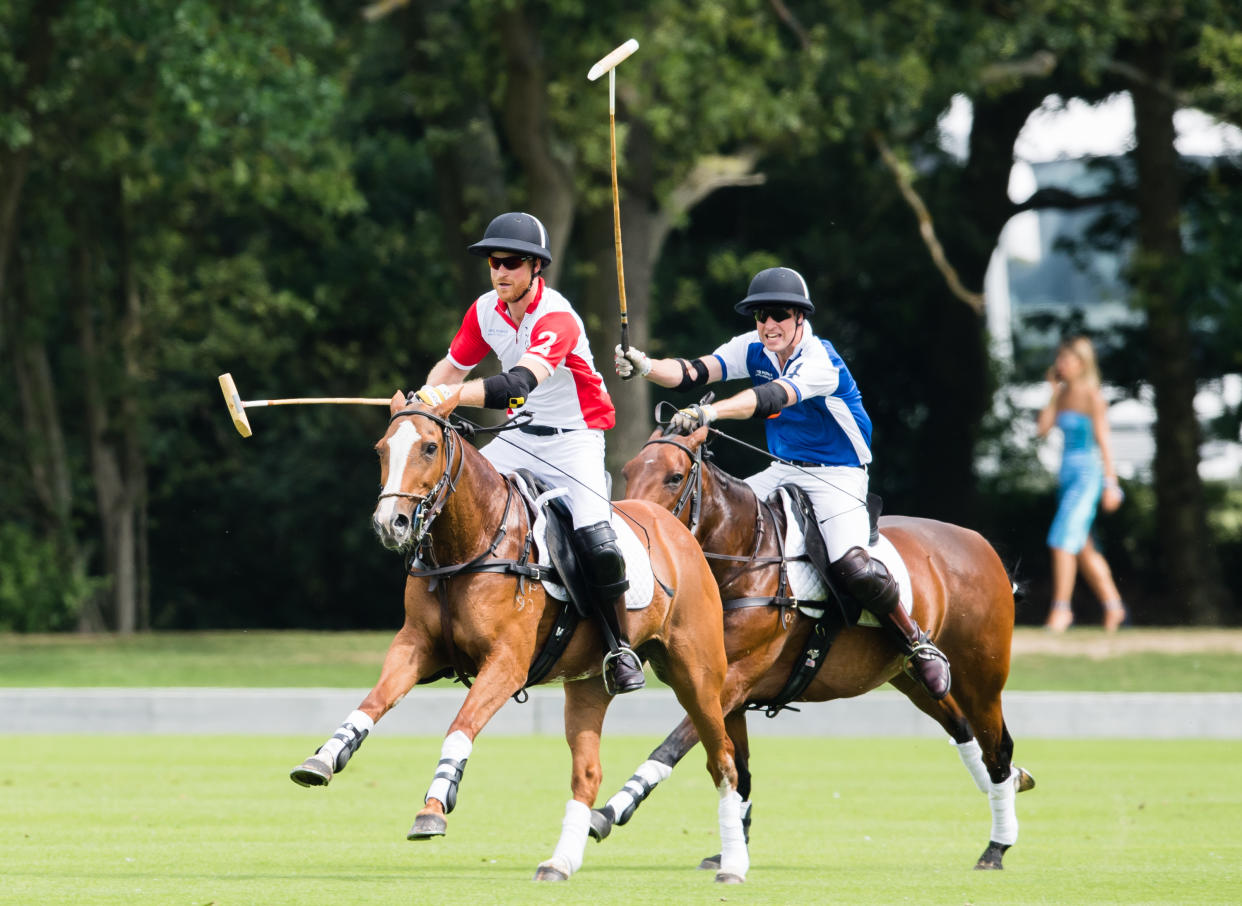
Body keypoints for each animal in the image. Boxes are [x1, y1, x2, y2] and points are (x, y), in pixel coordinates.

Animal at [293, 392, 745, 879]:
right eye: (381, 449)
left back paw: (733, 864)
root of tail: (678, 530)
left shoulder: (507, 663)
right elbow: (374, 701)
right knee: (588, 773)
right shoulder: (415, 645)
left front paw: (433, 806)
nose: (389, 523)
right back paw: (560, 862)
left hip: (697, 674)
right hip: (588, 683)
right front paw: (322, 759)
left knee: (723, 761)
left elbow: (460, 725)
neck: (470, 545)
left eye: (430, 447)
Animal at [591, 425, 1028, 869]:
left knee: (998, 746)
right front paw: (731, 850)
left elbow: (673, 747)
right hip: (911, 678)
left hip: (982, 673)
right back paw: (1013, 782)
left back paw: (996, 846)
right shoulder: (727, 690)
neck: (742, 560)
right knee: (962, 727)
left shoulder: (732, 680)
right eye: (627, 471)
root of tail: (980, 543)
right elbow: (737, 769)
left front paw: (610, 810)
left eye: (675, 476)